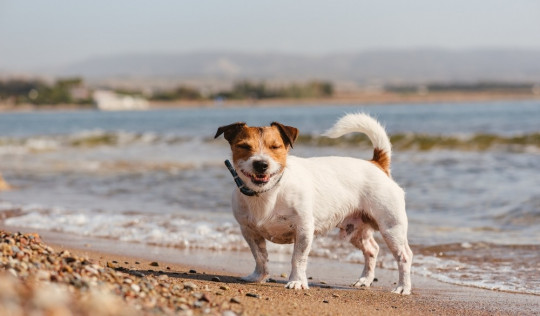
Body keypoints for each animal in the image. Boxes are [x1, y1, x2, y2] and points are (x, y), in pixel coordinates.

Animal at [215, 113, 414, 294]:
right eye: (244, 146)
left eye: (275, 147)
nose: (261, 164)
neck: (269, 192)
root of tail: (376, 164)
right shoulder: (249, 231)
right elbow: (260, 256)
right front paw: (259, 276)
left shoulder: (303, 230)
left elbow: (298, 258)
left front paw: (296, 281)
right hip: (356, 230)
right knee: (372, 250)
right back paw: (365, 280)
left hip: (391, 228)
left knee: (404, 256)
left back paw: (403, 287)